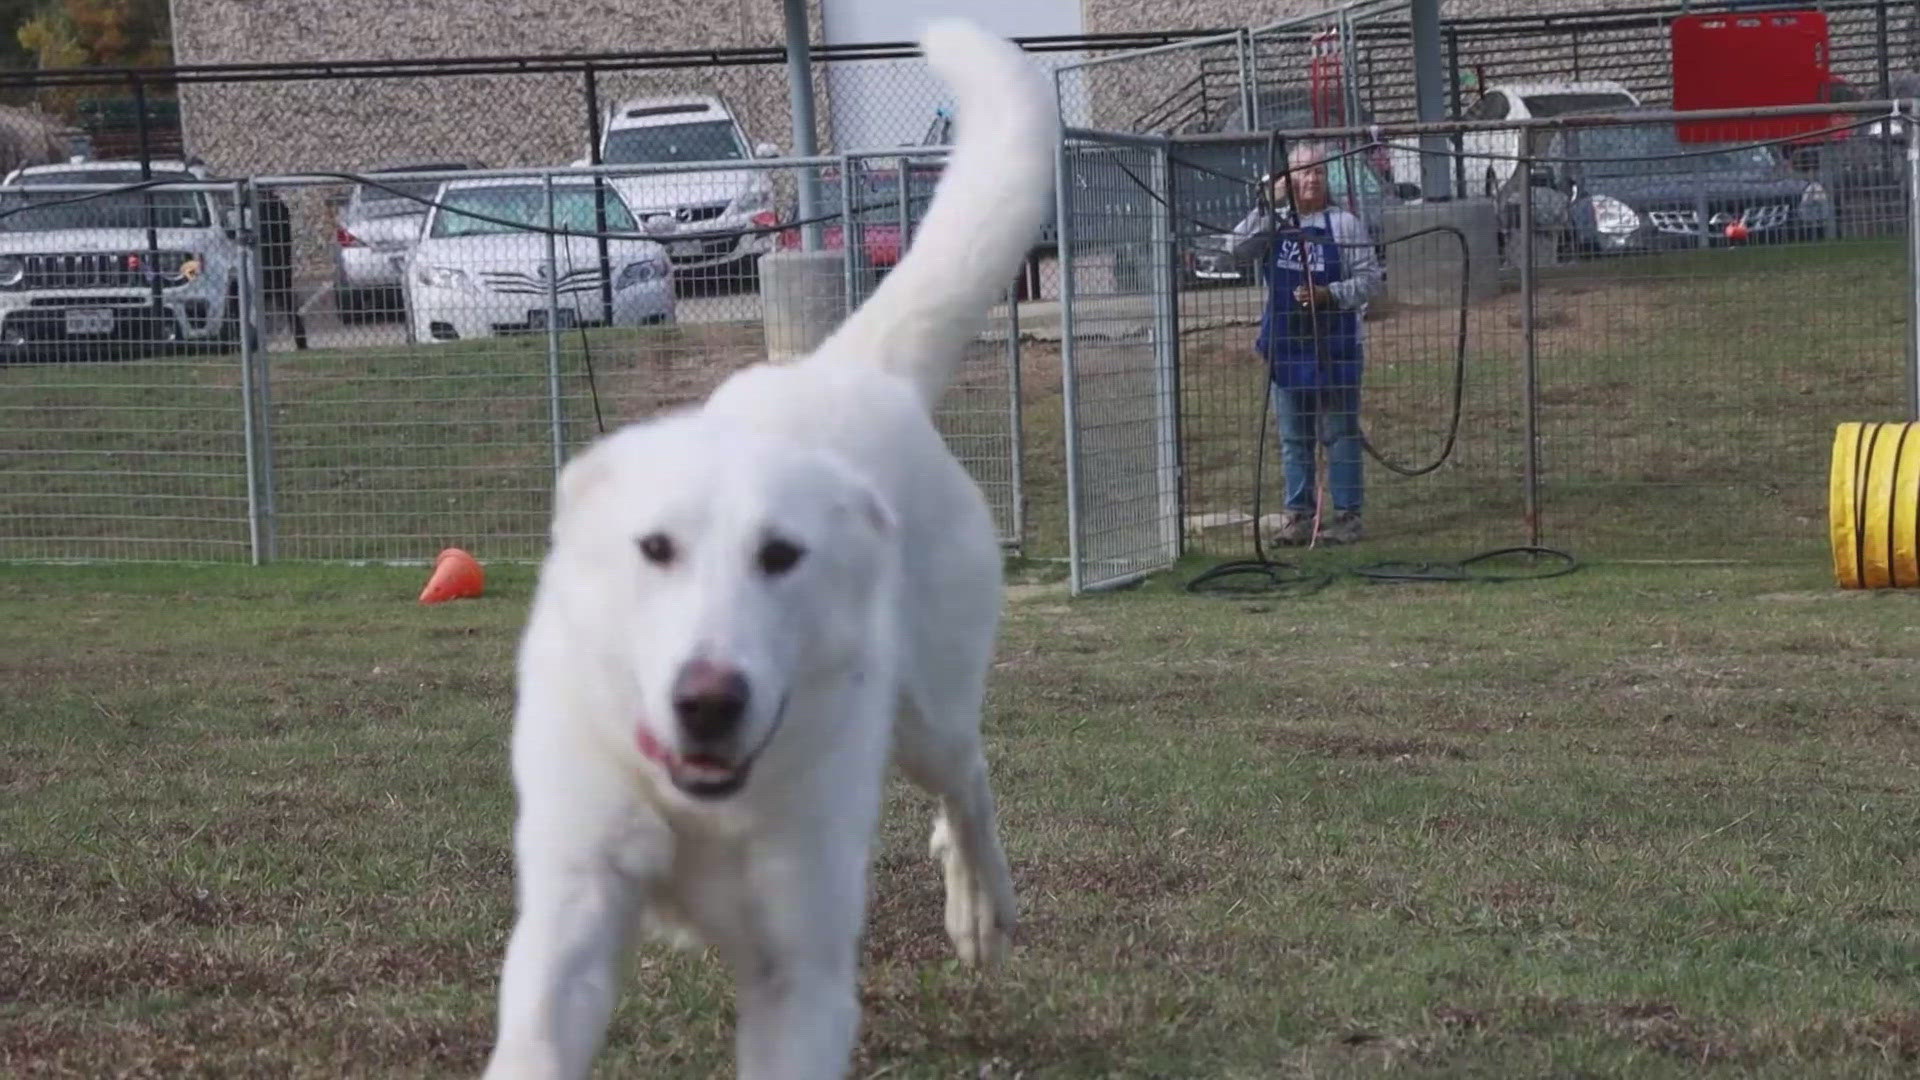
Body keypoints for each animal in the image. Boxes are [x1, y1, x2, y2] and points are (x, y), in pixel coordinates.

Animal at [474, 18, 1059, 1076]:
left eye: (782, 557)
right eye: (655, 548)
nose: (708, 700)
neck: (698, 805)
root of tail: (853, 372)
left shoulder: (802, 974)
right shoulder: (565, 938)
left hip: (928, 716)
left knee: (970, 783)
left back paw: (979, 907)